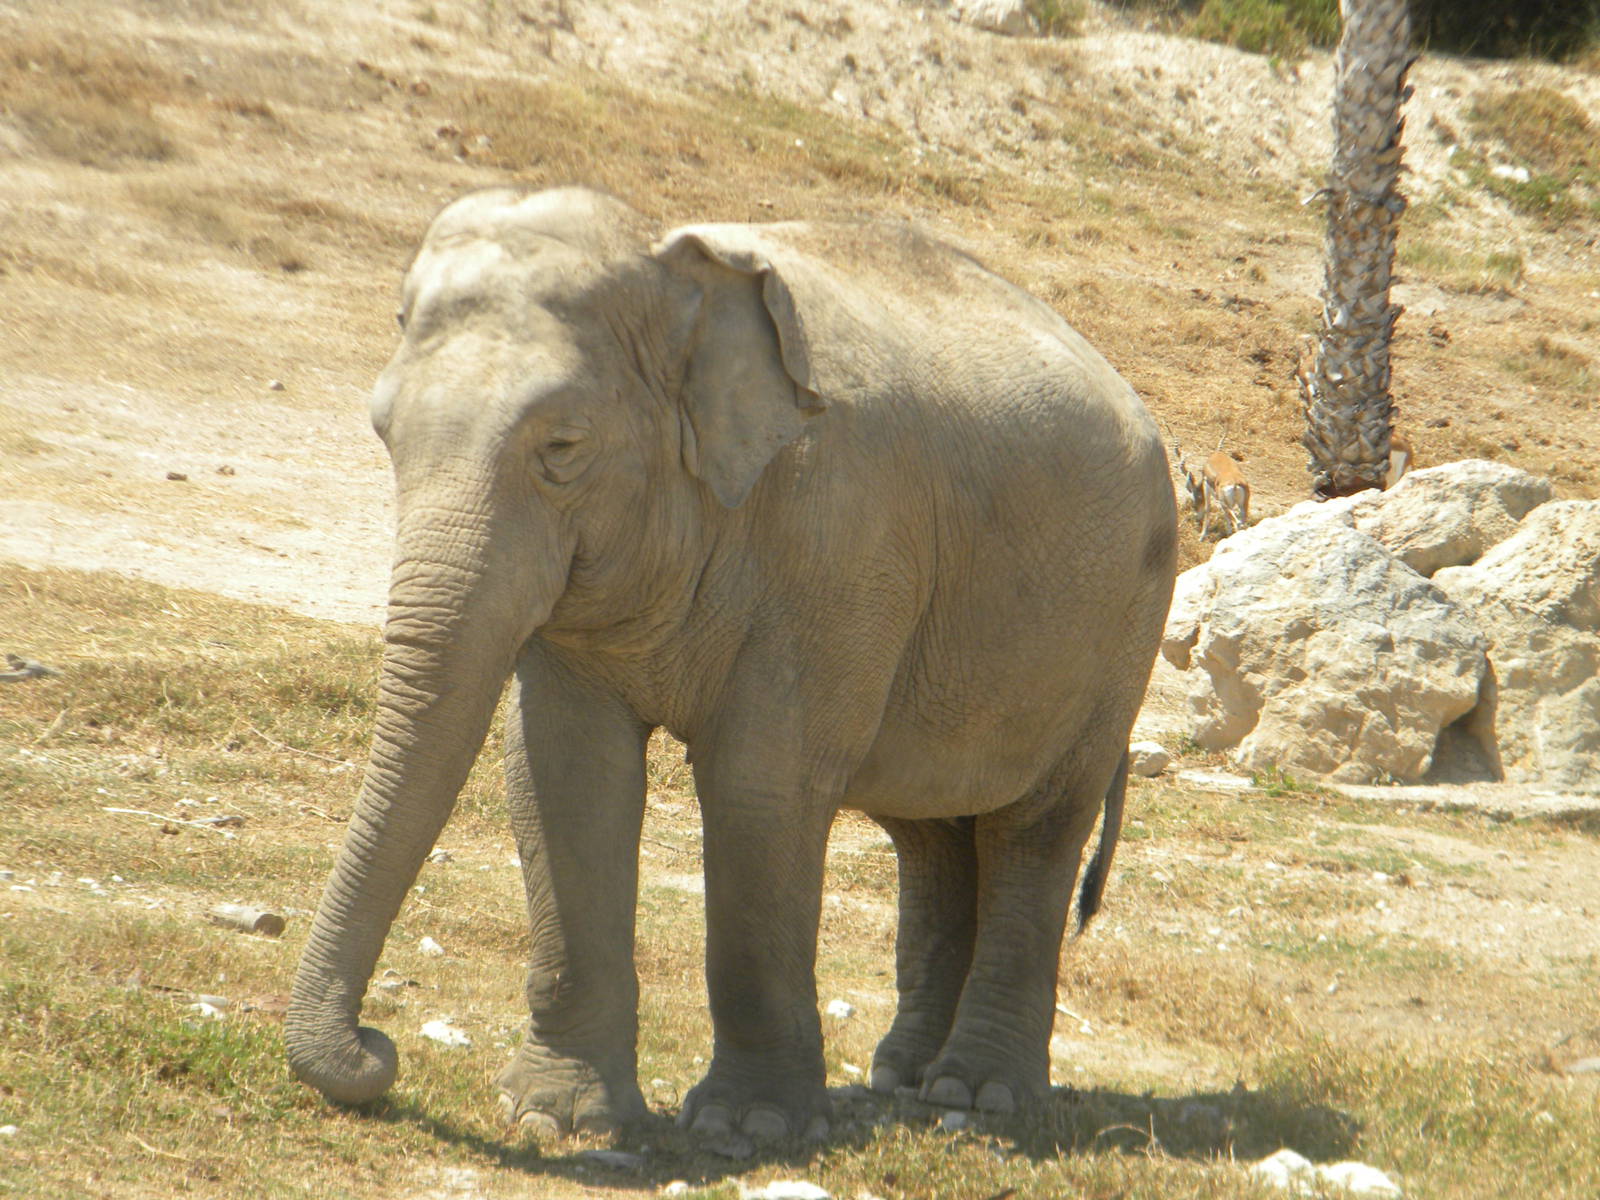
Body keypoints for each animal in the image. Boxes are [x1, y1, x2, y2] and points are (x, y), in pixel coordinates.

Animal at [285, 186, 1178, 1145]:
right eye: (383, 433)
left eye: (562, 448)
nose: (376, 1052)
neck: (676, 266)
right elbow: (566, 772)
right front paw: (557, 1121)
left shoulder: (838, 544)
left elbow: (761, 783)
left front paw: (748, 1127)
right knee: (931, 830)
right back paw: (904, 1079)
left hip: (1121, 630)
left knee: (1033, 828)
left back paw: (978, 1097)